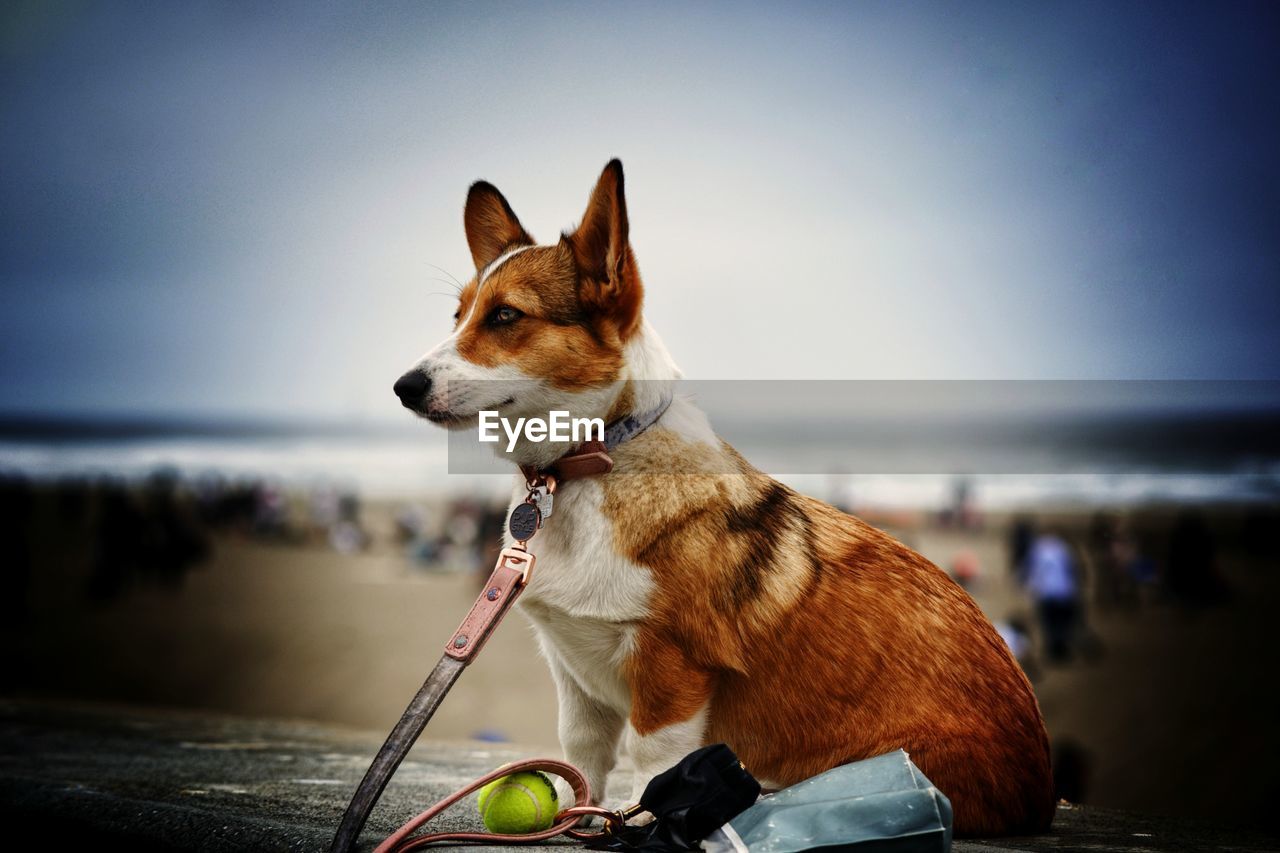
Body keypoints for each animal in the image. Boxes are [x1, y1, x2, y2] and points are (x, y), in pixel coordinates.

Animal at [394, 157, 1054, 829]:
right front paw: (583, 818)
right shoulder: (573, 675)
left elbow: (651, 766)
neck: (589, 460)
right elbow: (585, 757)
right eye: (458, 315)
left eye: (506, 316)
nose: (403, 387)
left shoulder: (672, 669)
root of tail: (1041, 793)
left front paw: (641, 824)